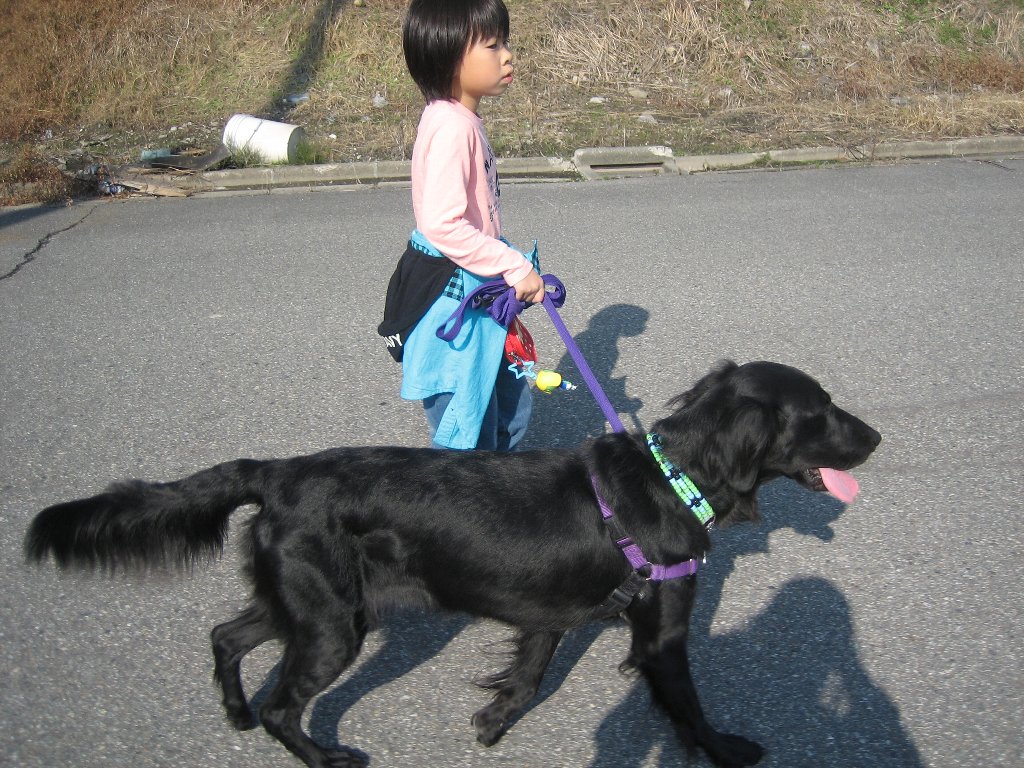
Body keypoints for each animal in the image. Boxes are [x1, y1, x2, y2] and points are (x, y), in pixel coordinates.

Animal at [25, 360, 880, 768]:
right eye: (820, 413)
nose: (876, 438)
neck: (672, 479)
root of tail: (276, 472)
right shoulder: (663, 628)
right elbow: (691, 708)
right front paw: (730, 751)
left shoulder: (547, 614)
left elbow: (527, 675)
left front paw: (493, 723)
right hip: (332, 624)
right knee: (281, 706)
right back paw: (323, 755)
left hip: (306, 604)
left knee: (226, 637)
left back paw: (233, 713)